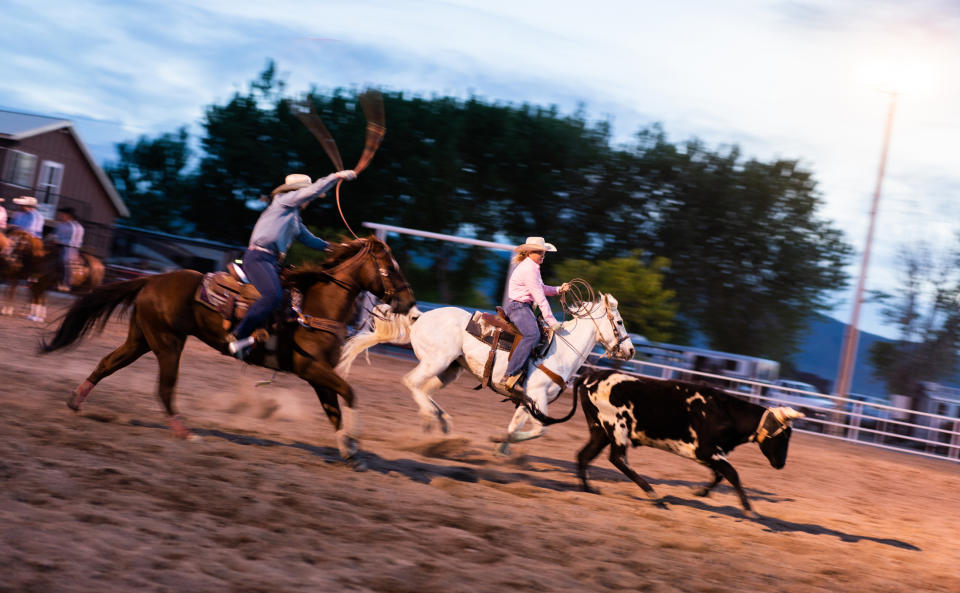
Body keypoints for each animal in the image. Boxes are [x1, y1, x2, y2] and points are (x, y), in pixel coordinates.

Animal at [42, 236, 416, 468]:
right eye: (391, 267)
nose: (410, 302)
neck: (313, 307)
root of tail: (151, 280)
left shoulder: (319, 375)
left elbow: (334, 410)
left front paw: (348, 451)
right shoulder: (310, 369)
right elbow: (350, 394)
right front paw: (355, 442)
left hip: (142, 339)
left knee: (109, 362)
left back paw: (76, 401)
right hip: (168, 342)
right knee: (165, 387)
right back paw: (185, 432)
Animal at [338, 292, 636, 454]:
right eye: (620, 322)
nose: (631, 350)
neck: (561, 350)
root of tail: (420, 317)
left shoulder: (527, 401)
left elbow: (515, 425)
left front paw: (502, 447)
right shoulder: (537, 398)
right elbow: (540, 431)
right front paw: (502, 443)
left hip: (450, 370)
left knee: (424, 389)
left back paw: (442, 421)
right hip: (436, 362)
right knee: (411, 383)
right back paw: (430, 417)